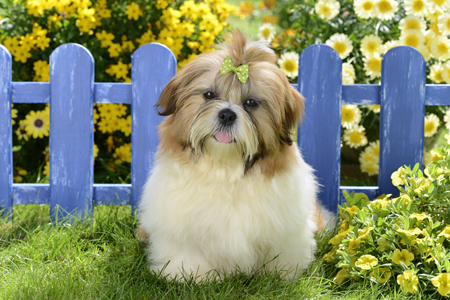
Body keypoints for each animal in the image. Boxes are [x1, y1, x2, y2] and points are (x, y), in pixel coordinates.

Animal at [137, 30, 330, 282]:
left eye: (251, 103)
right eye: (209, 95)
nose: (227, 114)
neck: (226, 166)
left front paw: (280, 274)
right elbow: (186, 253)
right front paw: (190, 275)